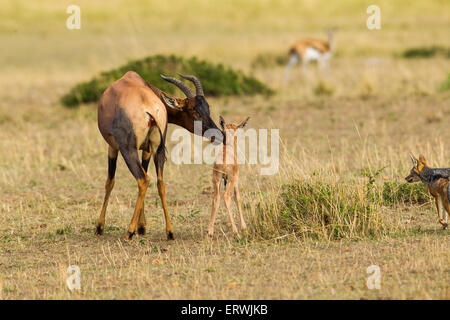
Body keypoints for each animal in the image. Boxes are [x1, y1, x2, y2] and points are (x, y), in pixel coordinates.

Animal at [97, 70, 221, 240]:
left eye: (207, 108)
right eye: (194, 110)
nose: (220, 135)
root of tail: (149, 108)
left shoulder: (113, 147)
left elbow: (110, 182)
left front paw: (99, 227)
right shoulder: (148, 150)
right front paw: (142, 227)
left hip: (128, 150)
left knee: (142, 179)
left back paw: (129, 232)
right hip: (159, 150)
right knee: (159, 182)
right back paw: (170, 232)